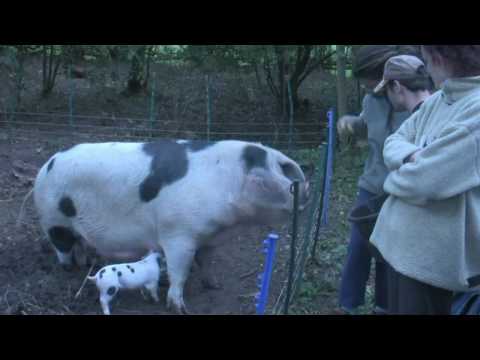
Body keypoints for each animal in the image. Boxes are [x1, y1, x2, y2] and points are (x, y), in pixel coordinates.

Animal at [34, 139, 312, 314]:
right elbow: (181, 271)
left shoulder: (208, 237)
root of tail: (47, 164)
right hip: (54, 220)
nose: (305, 188)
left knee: (81, 244)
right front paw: (180, 308)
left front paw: (214, 286)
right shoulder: (179, 234)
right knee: (62, 247)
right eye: (267, 178)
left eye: (283, 170)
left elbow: (207, 262)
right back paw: (69, 269)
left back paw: (83, 263)